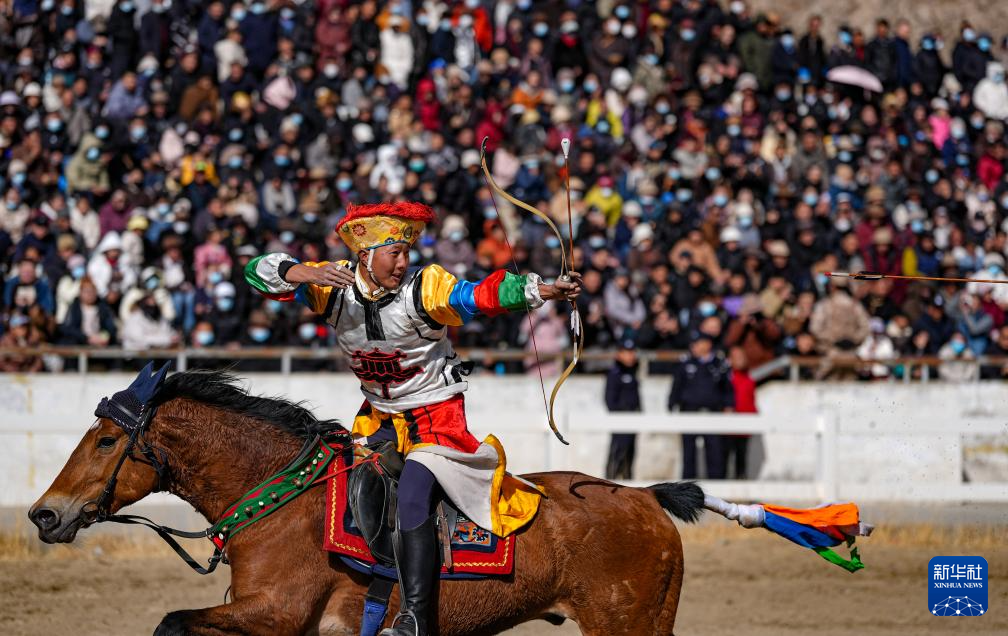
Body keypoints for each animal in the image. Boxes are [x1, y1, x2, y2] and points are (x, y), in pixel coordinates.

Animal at [25, 370, 701, 632]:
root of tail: (645, 498)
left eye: (106, 439)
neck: (280, 499)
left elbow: (171, 621)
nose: (44, 513)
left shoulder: (276, 615)